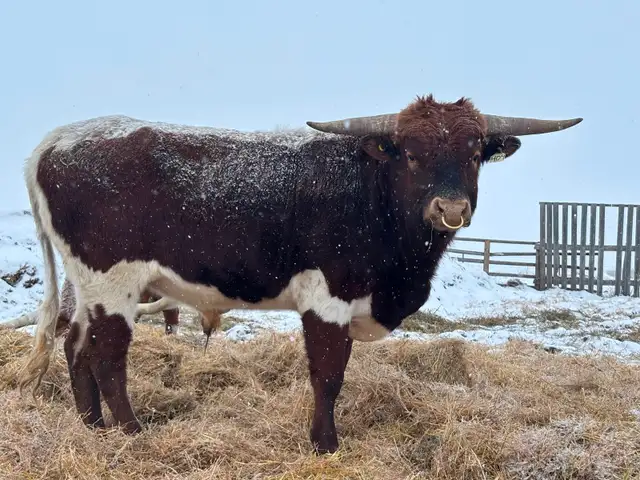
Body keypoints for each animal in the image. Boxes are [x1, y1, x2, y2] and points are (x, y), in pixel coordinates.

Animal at [16, 94, 581, 454]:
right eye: (412, 154)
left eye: (473, 153)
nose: (450, 208)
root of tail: (57, 140)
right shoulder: (327, 298)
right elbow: (328, 375)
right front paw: (325, 444)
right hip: (115, 282)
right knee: (106, 357)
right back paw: (131, 432)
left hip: (89, 285)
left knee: (76, 349)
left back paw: (93, 428)